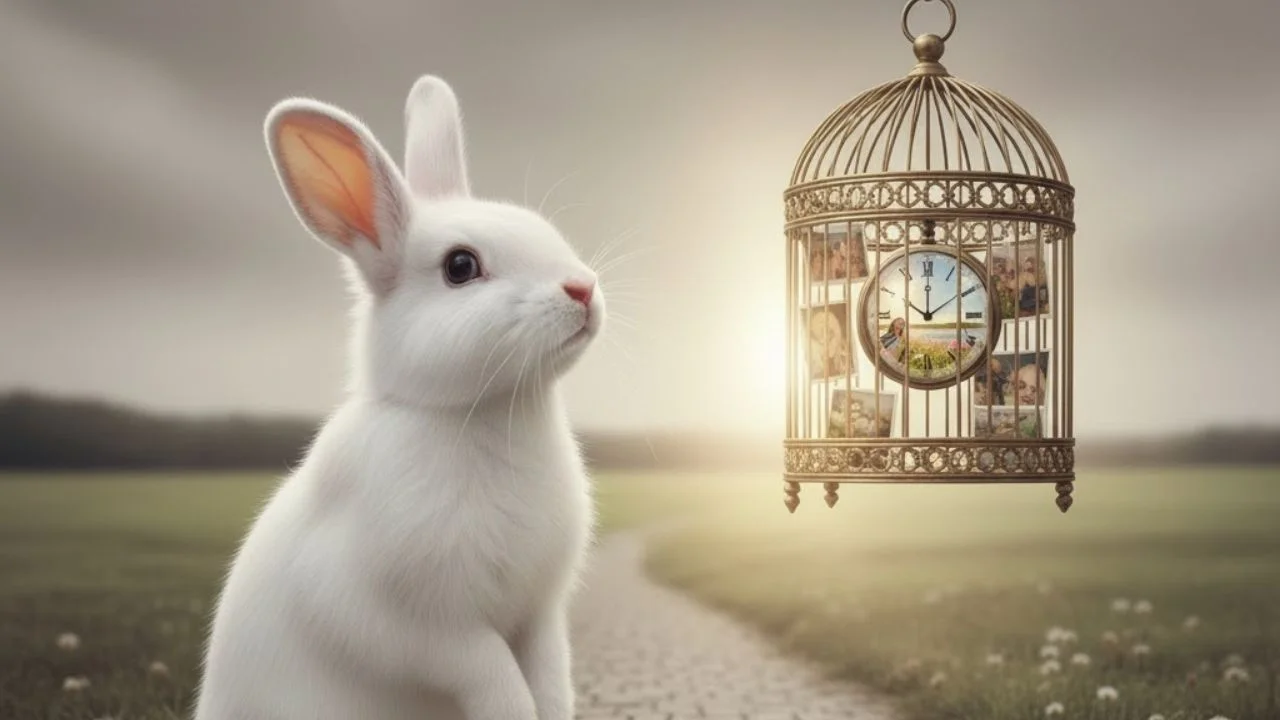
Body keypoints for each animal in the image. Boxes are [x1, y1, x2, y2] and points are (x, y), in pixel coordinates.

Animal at [192, 75, 603, 720]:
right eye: (460, 266)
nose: (583, 288)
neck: (479, 411)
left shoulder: (539, 615)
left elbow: (550, 678)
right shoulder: (416, 623)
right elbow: (494, 675)